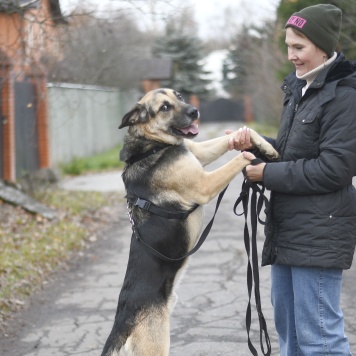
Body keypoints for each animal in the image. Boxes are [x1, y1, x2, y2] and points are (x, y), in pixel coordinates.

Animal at [100, 89, 278, 356]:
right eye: (164, 107)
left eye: (180, 96)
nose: (195, 112)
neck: (153, 146)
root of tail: (122, 321)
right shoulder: (204, 184)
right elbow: (238, 160)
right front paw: (251, 155)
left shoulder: (198, 152)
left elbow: (236, 133)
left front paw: (263, 146)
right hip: (157, 346)